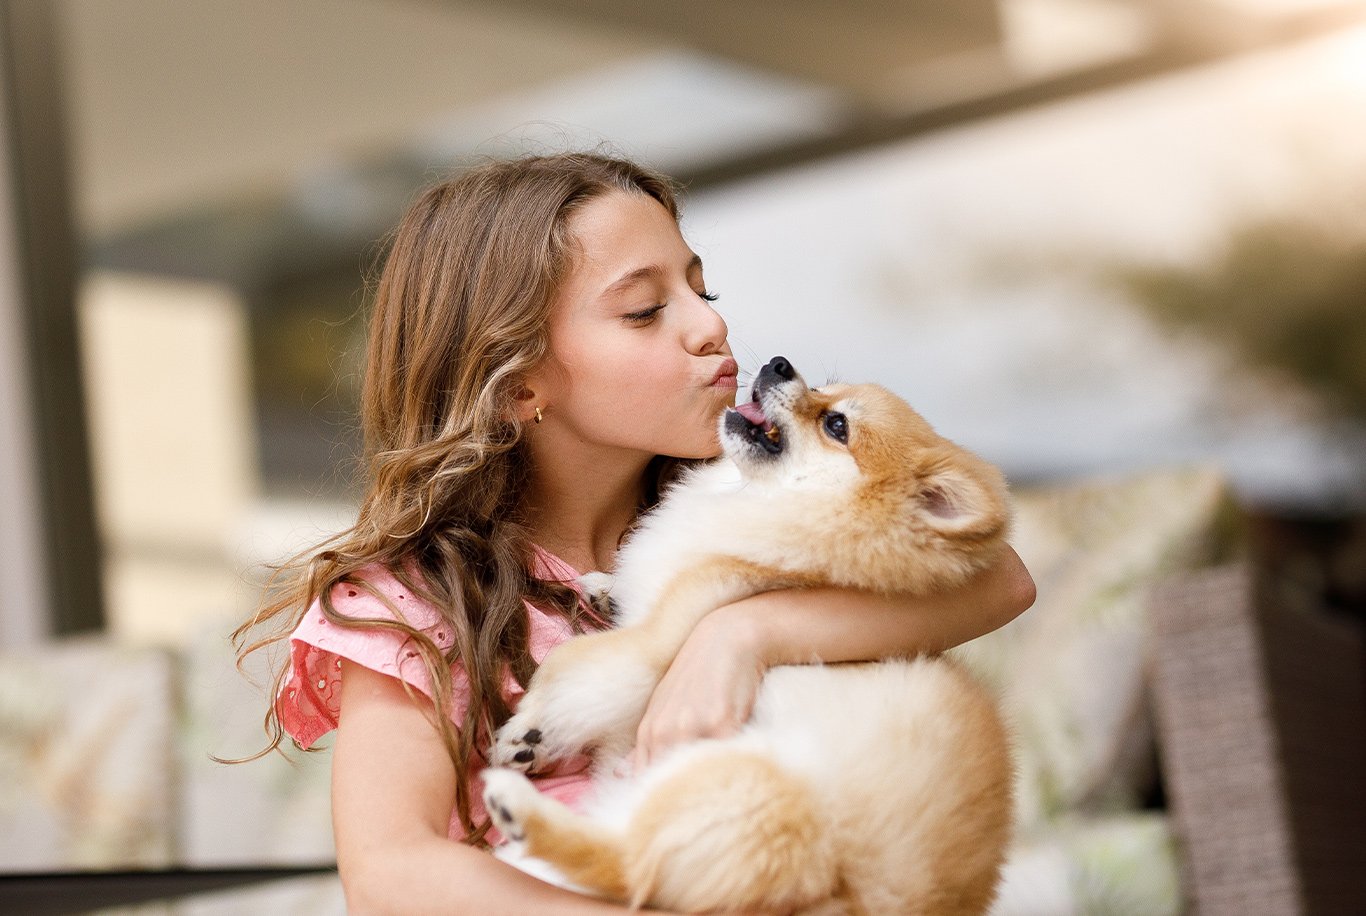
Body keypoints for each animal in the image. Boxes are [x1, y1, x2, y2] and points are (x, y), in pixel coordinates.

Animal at [483, 354, 1016, 911]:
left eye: (837, 425)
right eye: (821, 387)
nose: (779, 363)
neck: (758, 501)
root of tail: (842, 895)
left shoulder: (665, 633)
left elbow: (572, 665)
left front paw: (527, 733)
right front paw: (604, 589)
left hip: (748, 782)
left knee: (626, 866)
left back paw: (516, 809)